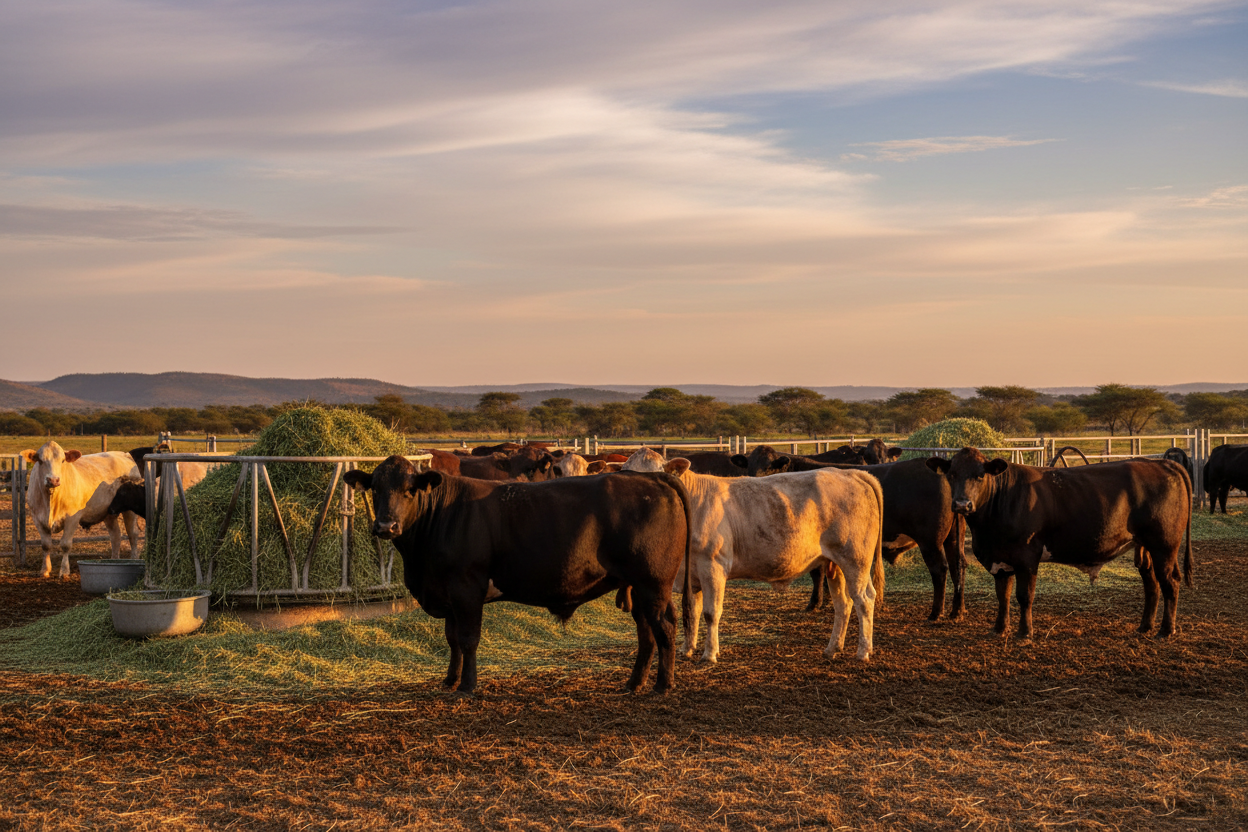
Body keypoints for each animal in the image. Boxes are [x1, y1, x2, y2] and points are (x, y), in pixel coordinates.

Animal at [21, 441, 143, 578]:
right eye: (40, 461)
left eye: (63, 460)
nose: (53, 480)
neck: (51, 499)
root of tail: (124, 454)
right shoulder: (37, 519)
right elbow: (46, 545)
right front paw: (45, 570)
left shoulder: (72, 518)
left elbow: (65, 544)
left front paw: (64, 571)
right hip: (109, 513)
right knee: (115, 535)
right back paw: (114, 560)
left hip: (130, 510)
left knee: (133, 534)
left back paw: (134, 558)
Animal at [344, 458, 693, 695]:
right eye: (375, 489)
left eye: (409, 490)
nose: (385, 526)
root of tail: (654, 477)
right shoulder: (448, 592)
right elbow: (452, 639)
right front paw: (450, 680)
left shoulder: (466, 587)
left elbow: (468, 639)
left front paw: (467, 686)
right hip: (640, 587)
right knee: (646, 632)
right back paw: (633, 683)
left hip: (654, 583)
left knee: (664, 627)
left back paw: (663, 685)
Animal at [622, 448, 884, 663]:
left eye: (657, 478)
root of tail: (851, 474)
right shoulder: (692, 571)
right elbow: (692, 611)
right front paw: (687, 649)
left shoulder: (713, 566)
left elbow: (710, 613)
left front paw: (709, 654)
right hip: (835, 564)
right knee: (843, 603)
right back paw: (832, 649)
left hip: (855, 559)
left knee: (864, 599)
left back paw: (863, 652)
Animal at [743, 445, 966, 622]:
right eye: (749, 467)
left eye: (770, 466)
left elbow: (817, 573)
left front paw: (814, 603)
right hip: (954, 538)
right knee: (958, 567)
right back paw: (957, 611)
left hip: (930, 542)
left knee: (940, 570)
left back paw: (935, 613)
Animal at [927, 447, 1192, 641]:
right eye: (951, 475)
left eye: (980, 475)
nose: (962, 504)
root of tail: (1162, 463)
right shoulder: (1000, 559)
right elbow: (1003, 595)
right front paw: (999, 629)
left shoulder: (1027, 558)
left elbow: (1024, 596)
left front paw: (1025, 633)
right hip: (1145, 546)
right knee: (1151, 583)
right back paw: (1145, 627)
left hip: (1164, 546)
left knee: (1170, 582)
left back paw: (1166, 630)